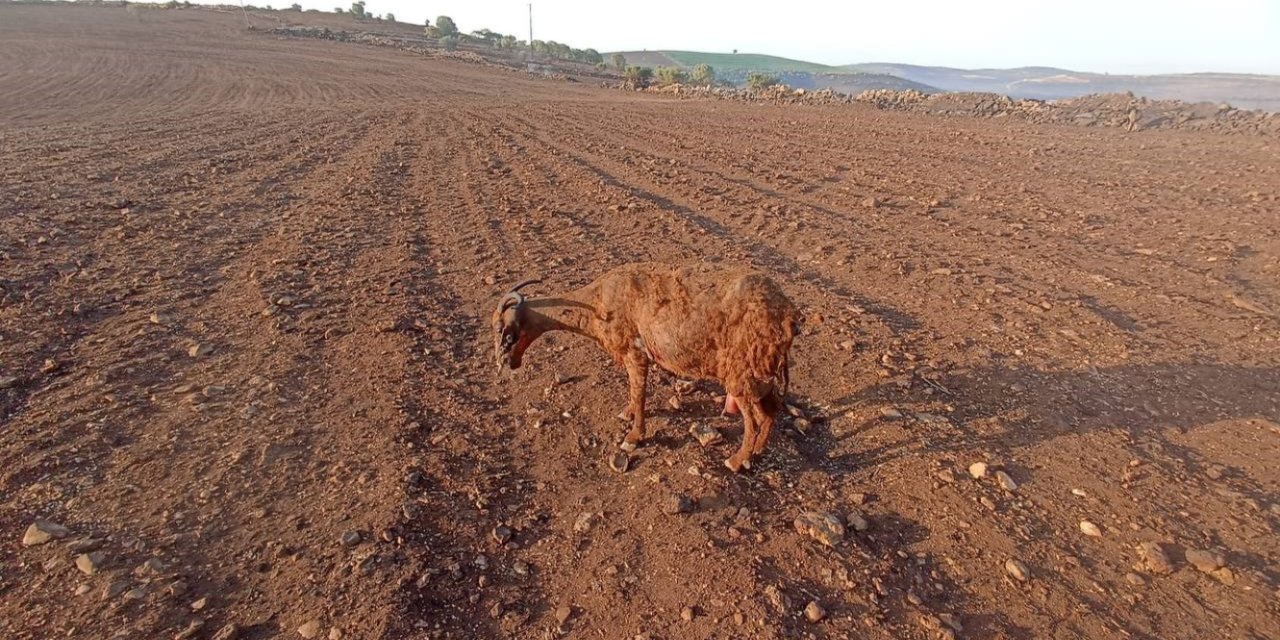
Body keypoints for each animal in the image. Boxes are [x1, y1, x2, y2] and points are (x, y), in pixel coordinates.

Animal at [491, 262, 798, 473]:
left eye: (504, 332)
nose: (508, 363)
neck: (598, 301)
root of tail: (787, 315)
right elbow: (633, 392)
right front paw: (626, 414)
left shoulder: (634, 353)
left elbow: (638, 393)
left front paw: (633, 437)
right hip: (760, 374)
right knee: (770, 411)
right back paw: (756, 453)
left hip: (740, 373)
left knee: (753, 420)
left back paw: (736, 460)